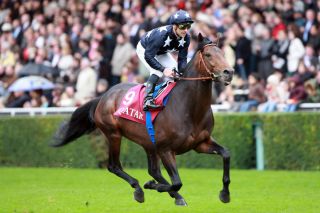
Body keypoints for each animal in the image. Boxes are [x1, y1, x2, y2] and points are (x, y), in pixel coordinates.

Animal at [52, 33, 232, 206]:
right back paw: (139, 189)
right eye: (208, 55)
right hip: (114, 134)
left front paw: (225, 194)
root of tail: (103, 96)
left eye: (223, 53)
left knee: (153, 171)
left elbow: (226, 154)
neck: (189, 108)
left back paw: (172, 195)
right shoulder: (166, 149)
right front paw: (151, 185)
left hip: (148, 143)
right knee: (114, 166)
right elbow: (177, 182)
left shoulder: (200, 143)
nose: (229, 72)